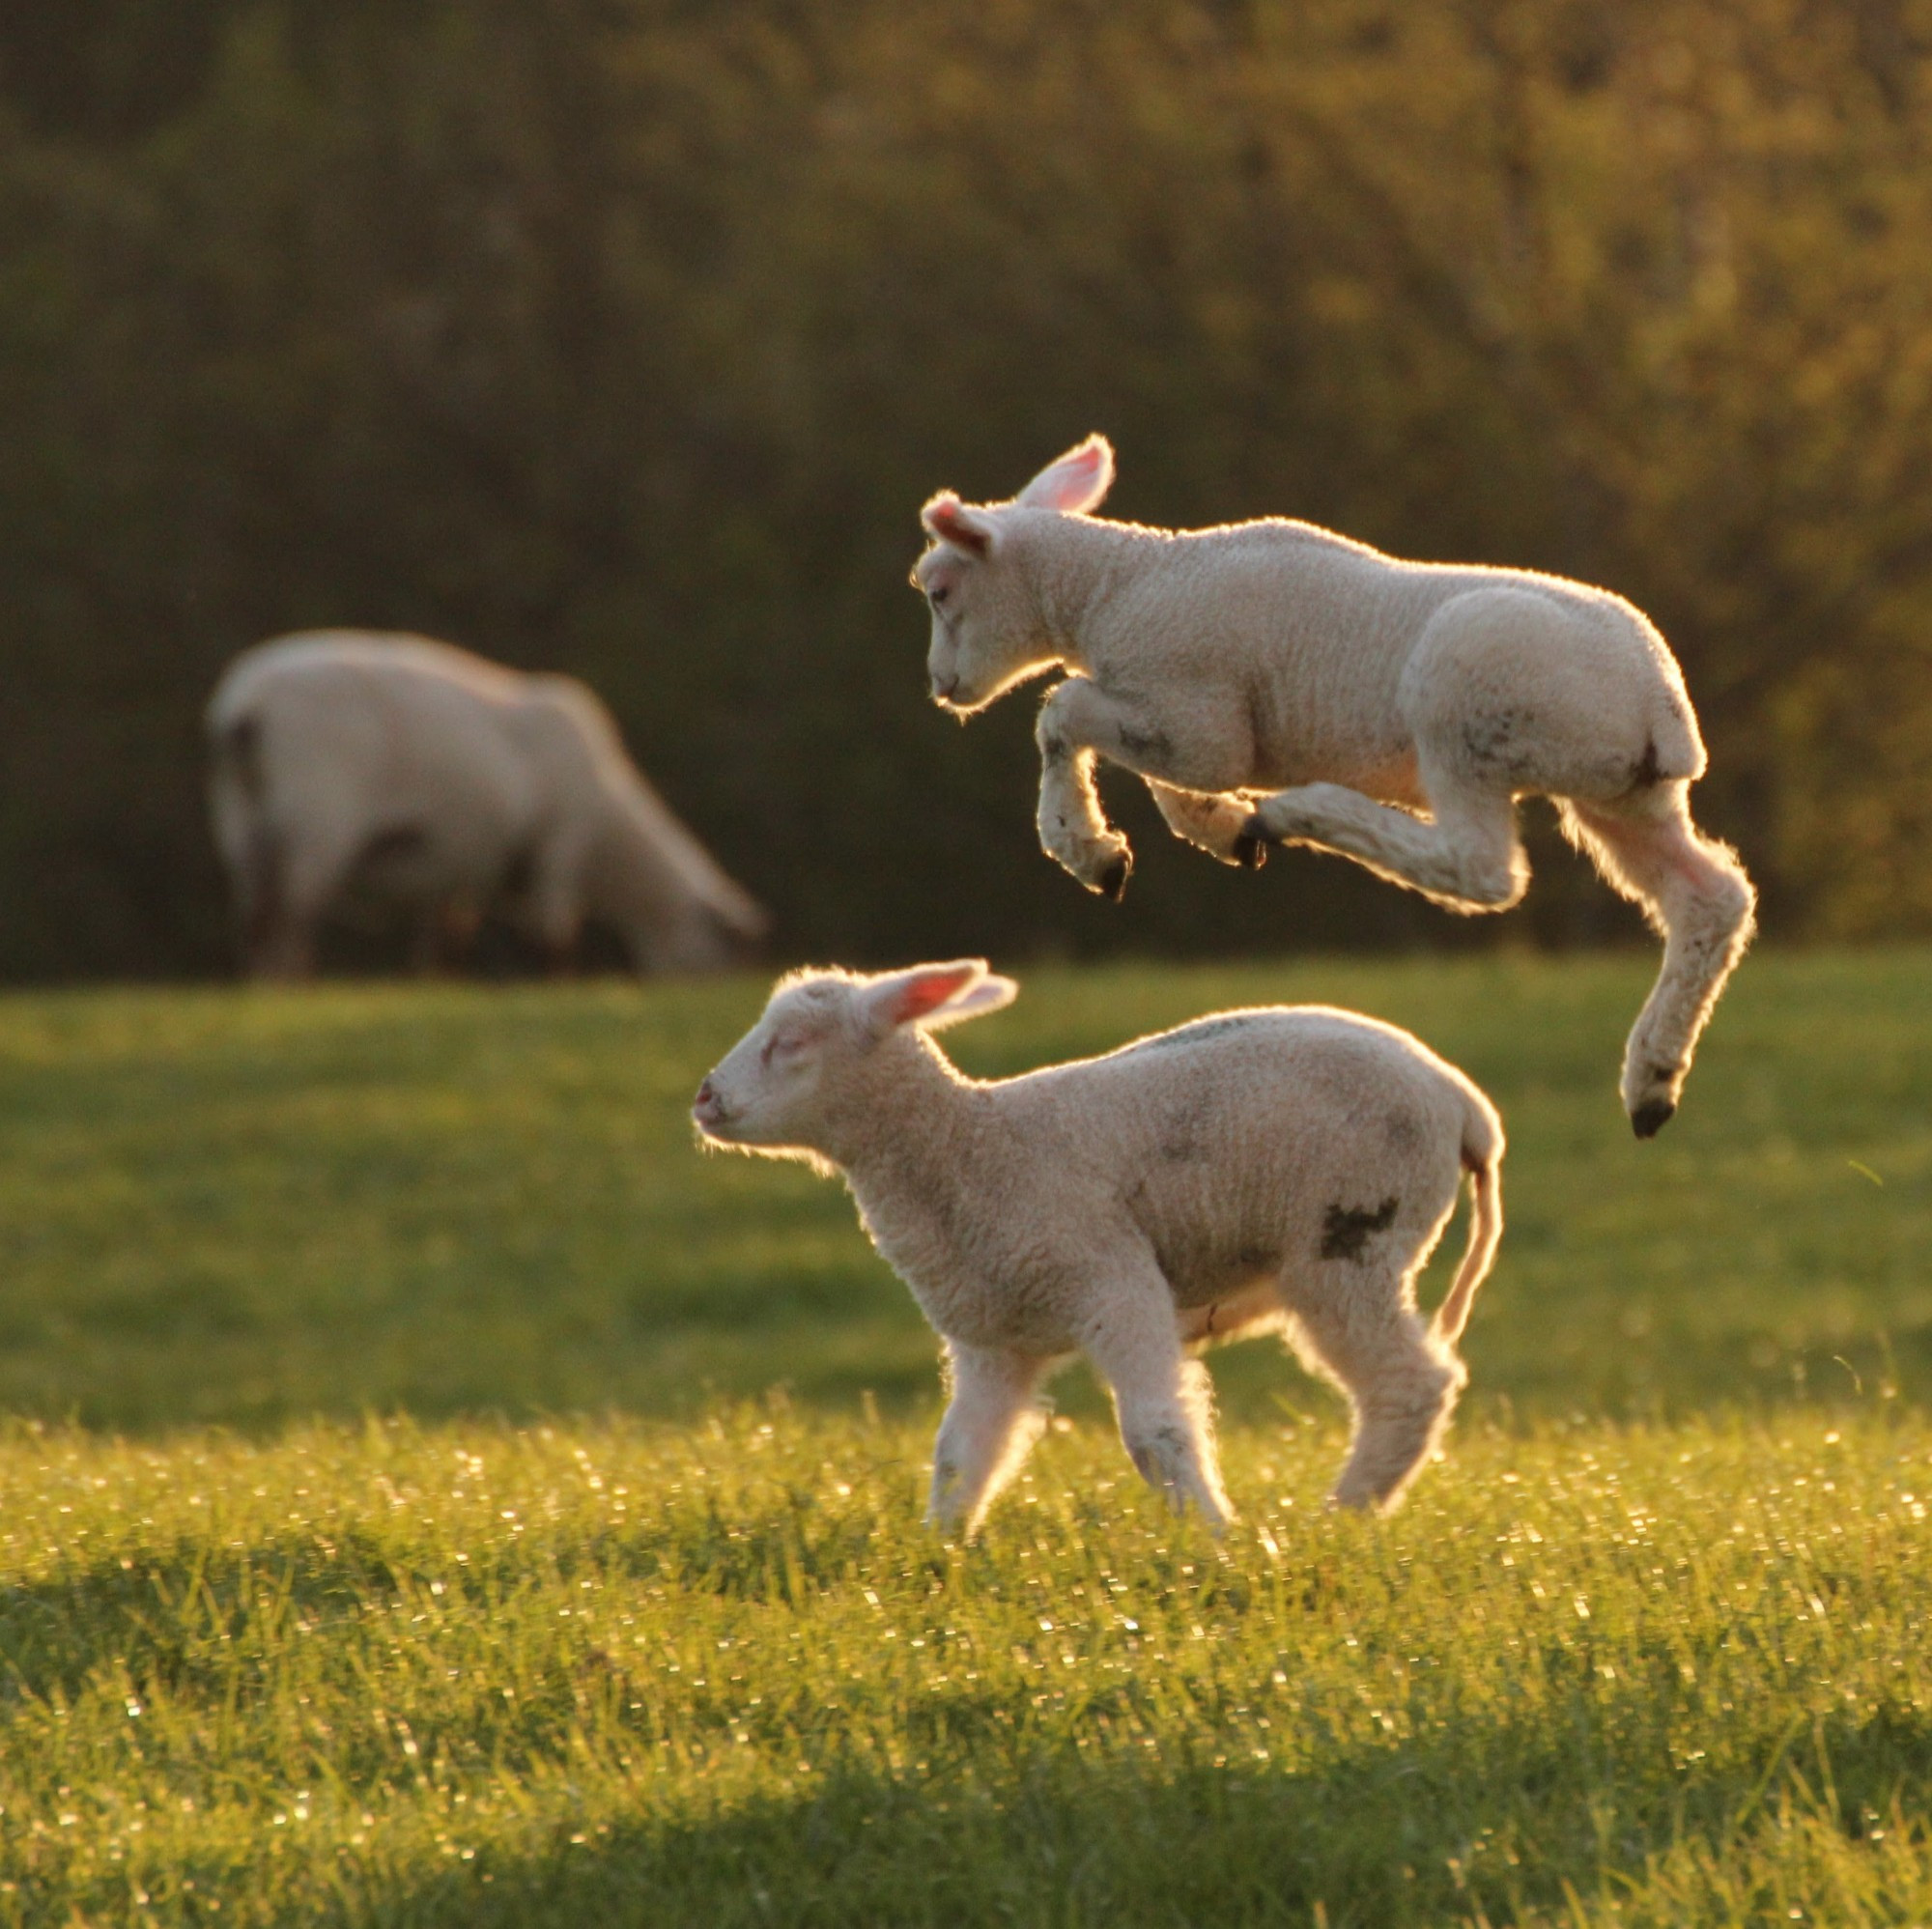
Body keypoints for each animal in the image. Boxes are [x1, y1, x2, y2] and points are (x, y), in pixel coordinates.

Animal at [204, 634, 761, 981]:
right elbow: (553, 935)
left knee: (252, 919)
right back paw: (294, 988)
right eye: (726, 949)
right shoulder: (560, 844)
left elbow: (445, 940)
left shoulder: (457, 863)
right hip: (318, 817)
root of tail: (246, 708)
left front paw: (436, 986)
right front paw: (556, 988)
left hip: (241, 822)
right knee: (288, 916)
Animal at [696, 966, 1507, 1538]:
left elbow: (1155, 1434)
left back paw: (1339, 1516)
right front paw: (937, 1548)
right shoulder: (995, 1336)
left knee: (1411, 1385)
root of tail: (1464, 1105)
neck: (969, 1148)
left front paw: (1216, 1538)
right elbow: (962, 1452)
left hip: (1350, 1236)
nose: (704, 1098)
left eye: (791, 1043)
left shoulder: (1111, 1278)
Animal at [912, 439, 1762, 1128]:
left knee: (1481, 869)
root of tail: (1661, 706)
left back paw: (1301, 812)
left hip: (1465, 701)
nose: (941, 688)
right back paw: (1652, 1080)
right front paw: (1217, 831)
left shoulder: (1197, 712)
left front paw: (1091, 849)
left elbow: (1064, 713)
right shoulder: (1188, 719)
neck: (1114, 586)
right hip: (1615, 790)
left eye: (940, 591)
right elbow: (1165, 781)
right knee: (1711, 898)